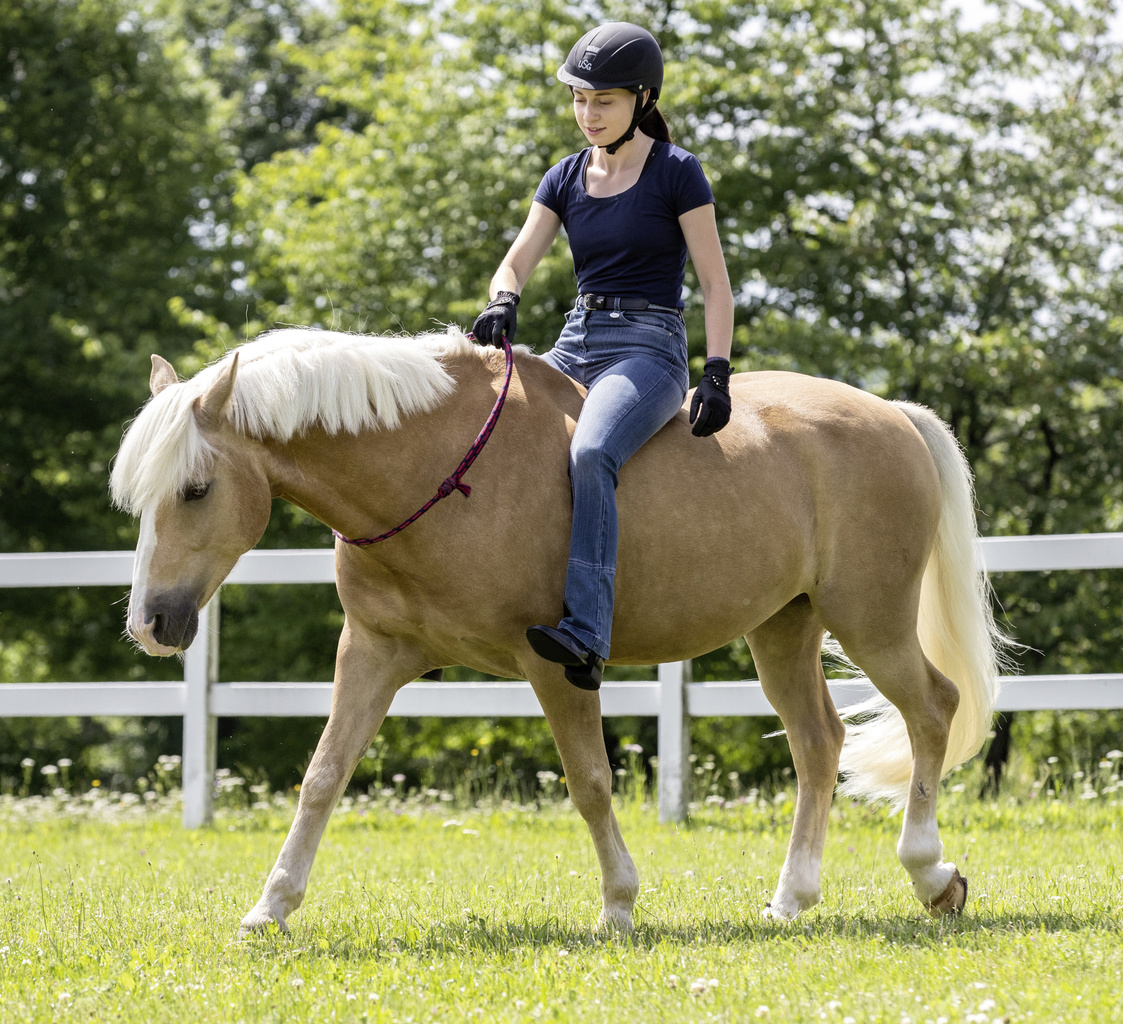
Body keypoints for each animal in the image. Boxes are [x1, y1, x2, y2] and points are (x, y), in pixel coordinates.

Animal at [109, 325, 1006, 929]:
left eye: (195, 489)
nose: (153, 622)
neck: (438, 470)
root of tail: (891, 414)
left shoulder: (556, 665)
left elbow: (590, 783)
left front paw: (617, 906)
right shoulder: (371, 652)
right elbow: (323, 776)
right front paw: (271, 906)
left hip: (871, 622)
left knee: (932, 708)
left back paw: (930, 874)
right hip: (783, 631)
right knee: (820, 744)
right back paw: (791, 899)